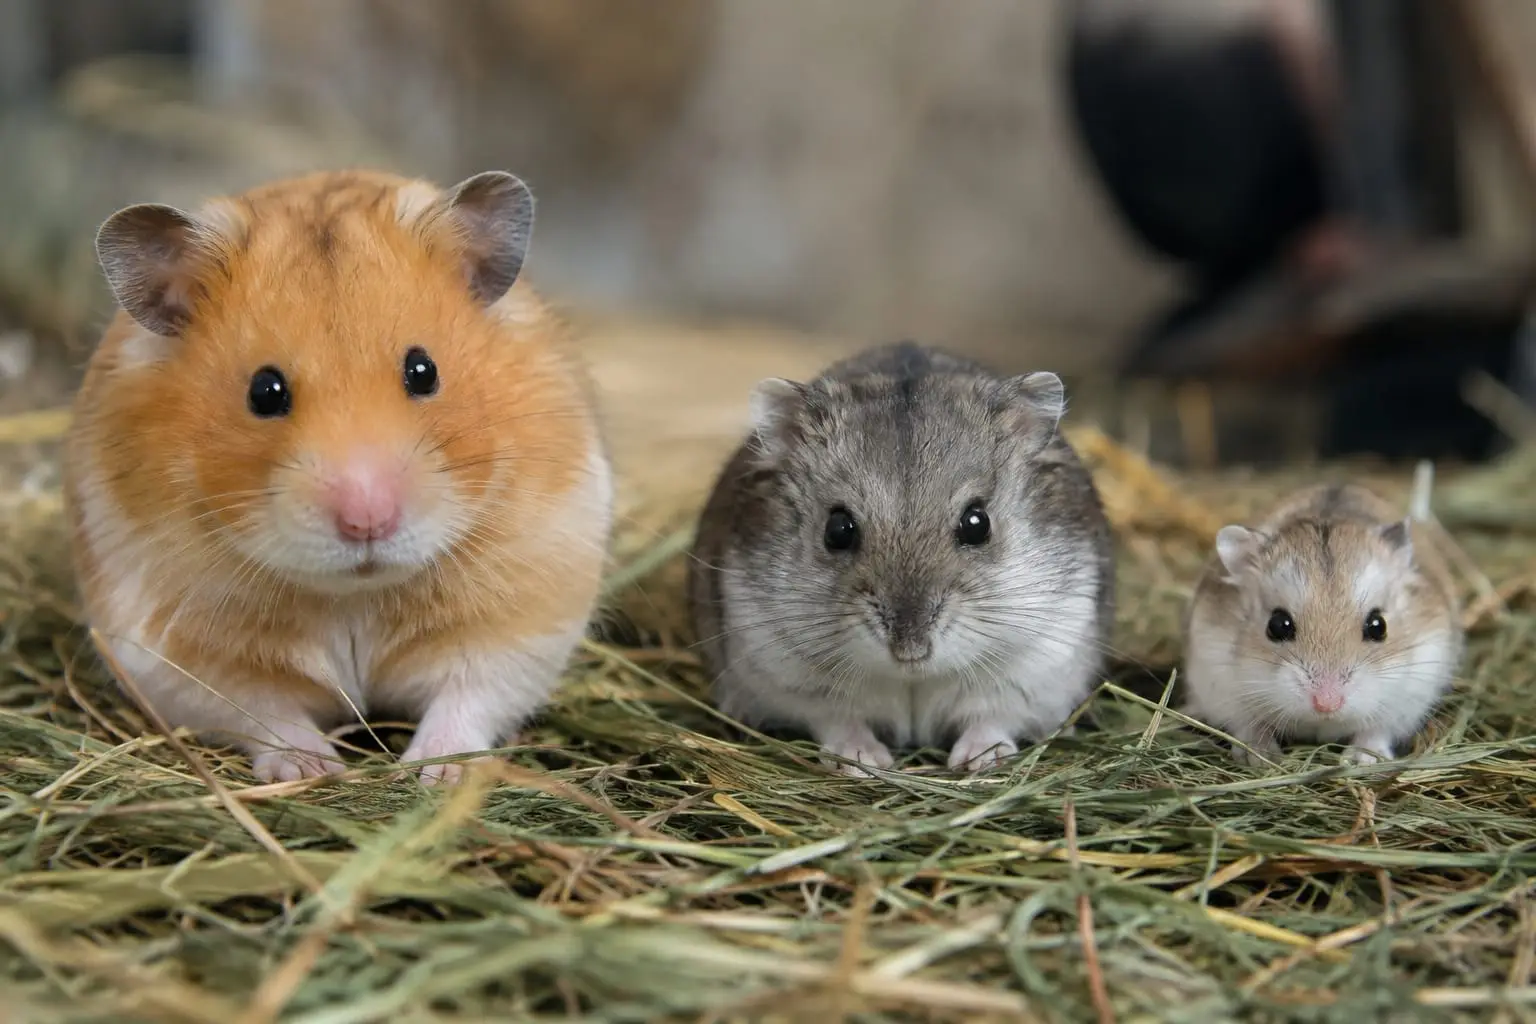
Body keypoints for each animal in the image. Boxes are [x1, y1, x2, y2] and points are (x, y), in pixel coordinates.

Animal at [64, 169, 613, 785]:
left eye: (423, 371)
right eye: (264, 391)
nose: (366, 520)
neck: (355, 594)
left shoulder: (525, 616)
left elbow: (467, 697)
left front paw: (434, 775)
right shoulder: (179, 654)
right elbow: (264, 711)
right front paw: (314, 770)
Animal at [687, 342, 1115, 775]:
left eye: (977, 523)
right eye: (838, 529)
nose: (910, 649)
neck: (912, 677)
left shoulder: (1038, 668)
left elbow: (992, 718)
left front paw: (979, 762)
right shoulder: (786, 674)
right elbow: (838, 719)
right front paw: (862, 760)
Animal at [1183, 478, 1462, 765]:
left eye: (1378, 626)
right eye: (1277, 625)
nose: (1327, 704)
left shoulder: (1411, 696)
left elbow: (1376, 730)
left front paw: (1360, 759)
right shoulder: (1219, 682)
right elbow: (1248, 725)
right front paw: (1260, 756)